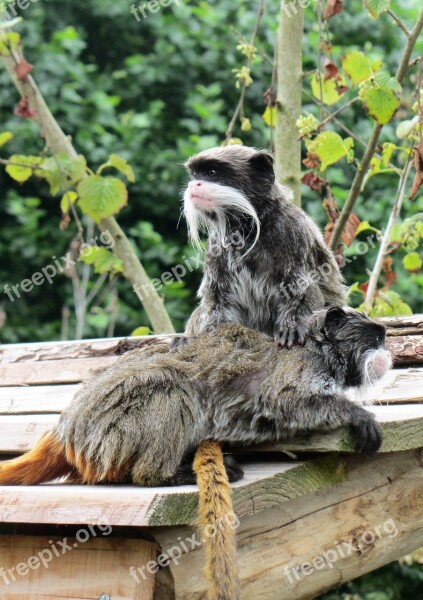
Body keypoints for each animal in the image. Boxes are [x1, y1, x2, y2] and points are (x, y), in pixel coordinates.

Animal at [0, 310, 392, 600]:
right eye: (375, 338)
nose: (388, 352)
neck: (319, 350)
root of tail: (66, 427)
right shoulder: (300, 368)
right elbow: (285, 400)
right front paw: (356, 415)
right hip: (108, 424)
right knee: (171, 385)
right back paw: (162, 475)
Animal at [182, 144, 348, 346]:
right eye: (195, 175)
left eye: (211, 173)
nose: (193, 185)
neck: (248, 229)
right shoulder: (215, 246)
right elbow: (216, 299)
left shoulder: (292, 229)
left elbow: (301, 288)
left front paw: (292, 326)